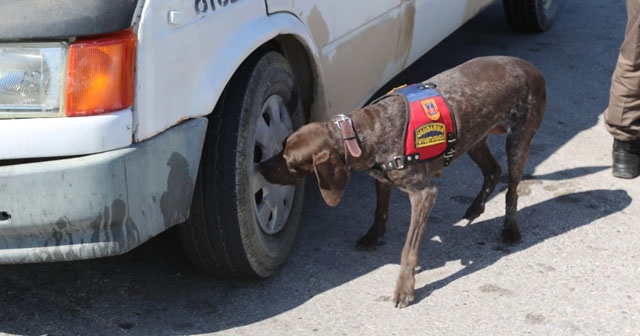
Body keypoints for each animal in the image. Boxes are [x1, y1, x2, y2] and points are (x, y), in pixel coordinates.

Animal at [258, 55, 544, 308]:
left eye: (291, 163)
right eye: (282, 146)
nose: (260, 167)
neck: (360, 134)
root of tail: (532, 69)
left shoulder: (424, 193)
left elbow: (409, 249)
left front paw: (405, 287)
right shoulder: (382, 179)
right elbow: (380, 212)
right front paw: (373, 236)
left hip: (518, 142)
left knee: (512, 190)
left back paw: (510, 229)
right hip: (474, 138)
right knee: (493, 170)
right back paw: (476, 207)